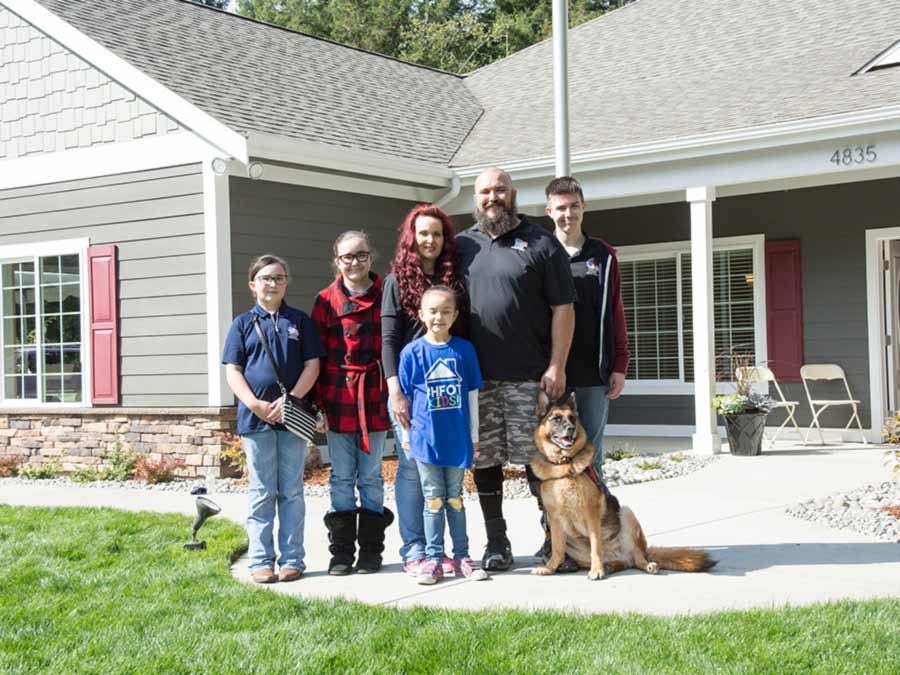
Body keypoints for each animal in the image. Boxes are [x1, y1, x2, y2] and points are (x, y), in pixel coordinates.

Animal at [528, 390, 716, 580]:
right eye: (557, 419)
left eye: (572, 419)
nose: (571, 429)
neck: (565, 464)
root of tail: (621, 556)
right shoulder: (554, 519)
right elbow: (557, 549)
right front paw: (549, 568)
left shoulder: (591, 512)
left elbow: (595, 546)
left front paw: (597, 570)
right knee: (623, 563)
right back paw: (609, 566)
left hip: (627, 514)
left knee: (637, 558)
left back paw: (643, 565)